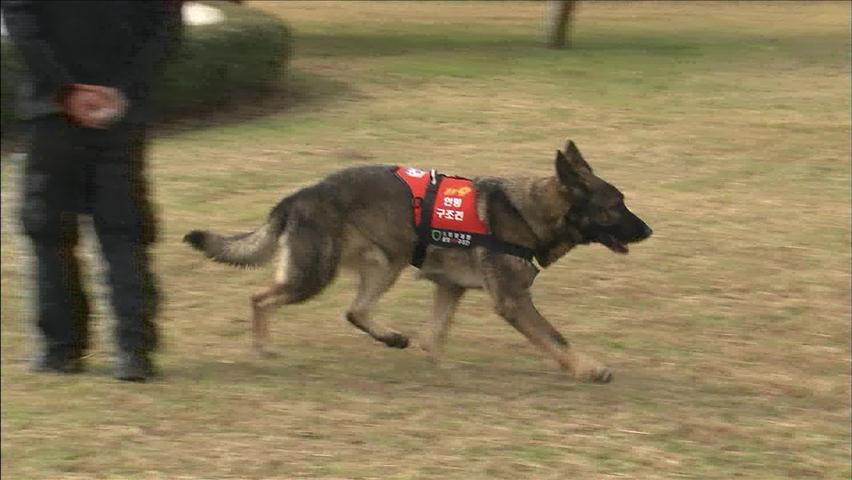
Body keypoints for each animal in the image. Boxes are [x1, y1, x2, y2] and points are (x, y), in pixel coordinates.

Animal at [185, 139, 652, 382]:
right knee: (260, 298)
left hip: (385, 263)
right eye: (616, 205)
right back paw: (262, 347)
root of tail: (297, 196)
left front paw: (440, 365)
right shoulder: (513, 301)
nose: (648, 230)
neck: (531, 212)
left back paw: (390, 337)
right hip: (316, 274)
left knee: (354, 310)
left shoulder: (450, 287)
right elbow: (555, 338)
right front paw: (589, 368)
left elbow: (435, 334)